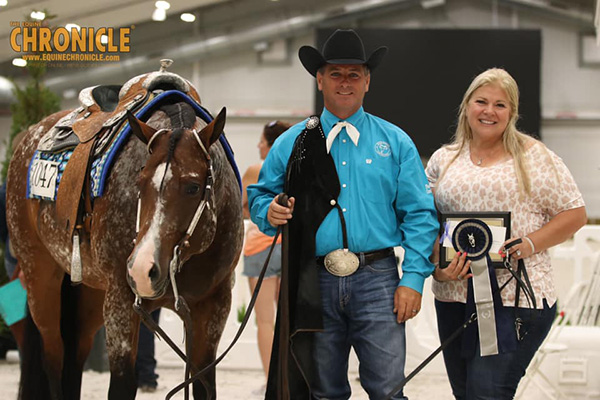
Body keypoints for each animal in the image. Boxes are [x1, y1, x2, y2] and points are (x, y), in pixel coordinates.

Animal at [4, 70, 244, 398]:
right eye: (139, 181)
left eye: (193, 187)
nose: (142, 269)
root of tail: (29, 136)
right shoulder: (120, 300)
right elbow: (122, 384)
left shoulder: (214, 304)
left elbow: (203, 385)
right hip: (41, 278)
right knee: (53, 359)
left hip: (90, 293)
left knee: (74, 358)